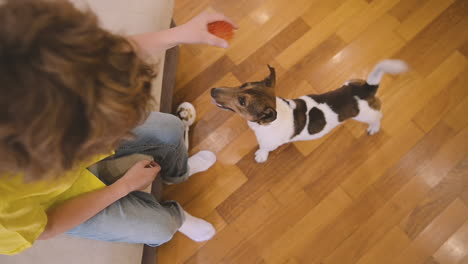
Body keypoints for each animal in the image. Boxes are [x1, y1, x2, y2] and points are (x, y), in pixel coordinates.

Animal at [210, 60, 408, 163]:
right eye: (243, 84)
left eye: (242, 101)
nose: (212, 91)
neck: (264, 123)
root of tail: (365, 89)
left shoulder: (270, 143)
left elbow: (265, 148)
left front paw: (261, 155)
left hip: (366, 115)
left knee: (378, 116)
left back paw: (374, 128)